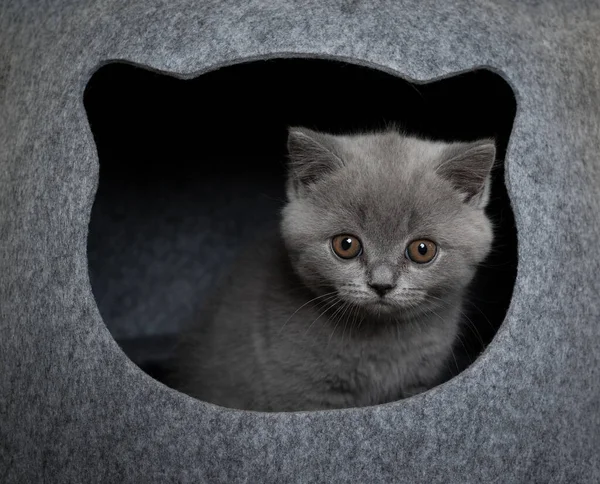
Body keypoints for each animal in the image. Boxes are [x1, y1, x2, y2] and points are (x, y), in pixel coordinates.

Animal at [172, 126, 492, 410]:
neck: (378, 345)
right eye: (346, 245)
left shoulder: (416, 384)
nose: (382, 284)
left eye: (422, 250)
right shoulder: (306, 394)